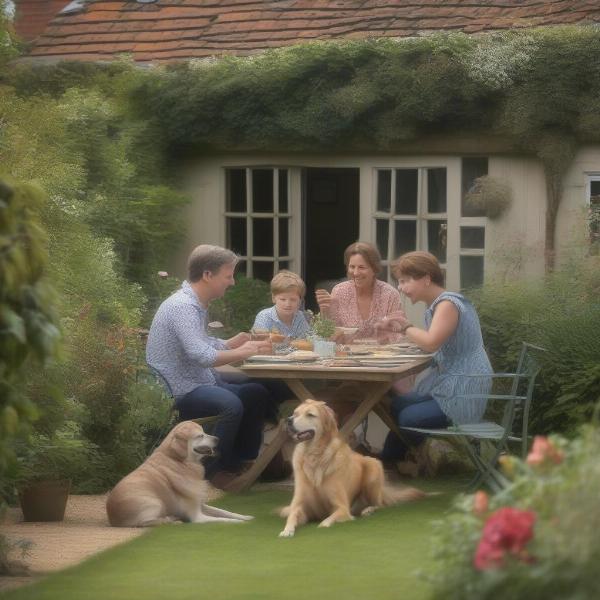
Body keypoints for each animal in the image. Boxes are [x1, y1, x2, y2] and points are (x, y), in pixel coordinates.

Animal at [106, 420, 252, 528]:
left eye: (204, 432)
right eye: (200, 435)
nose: (217, 439)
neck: (180, 462)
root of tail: (112, 518)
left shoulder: (201, 505)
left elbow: (224, 512)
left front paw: (245, 516)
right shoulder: (197, 517)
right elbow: (221, 519)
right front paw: (238, 522)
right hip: (154, 502)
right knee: (145, 523)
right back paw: (171, 519)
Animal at [278, 400, 424, 536]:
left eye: (310, 415)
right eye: (295, 413)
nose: (288, 420)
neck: (314, 456)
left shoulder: (342, 508)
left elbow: (327, 521)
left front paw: (323, 525)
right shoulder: (300, 506)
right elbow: (292, 515)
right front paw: (287, 530)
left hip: (373, 468)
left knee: (379, 504)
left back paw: (368, 510)